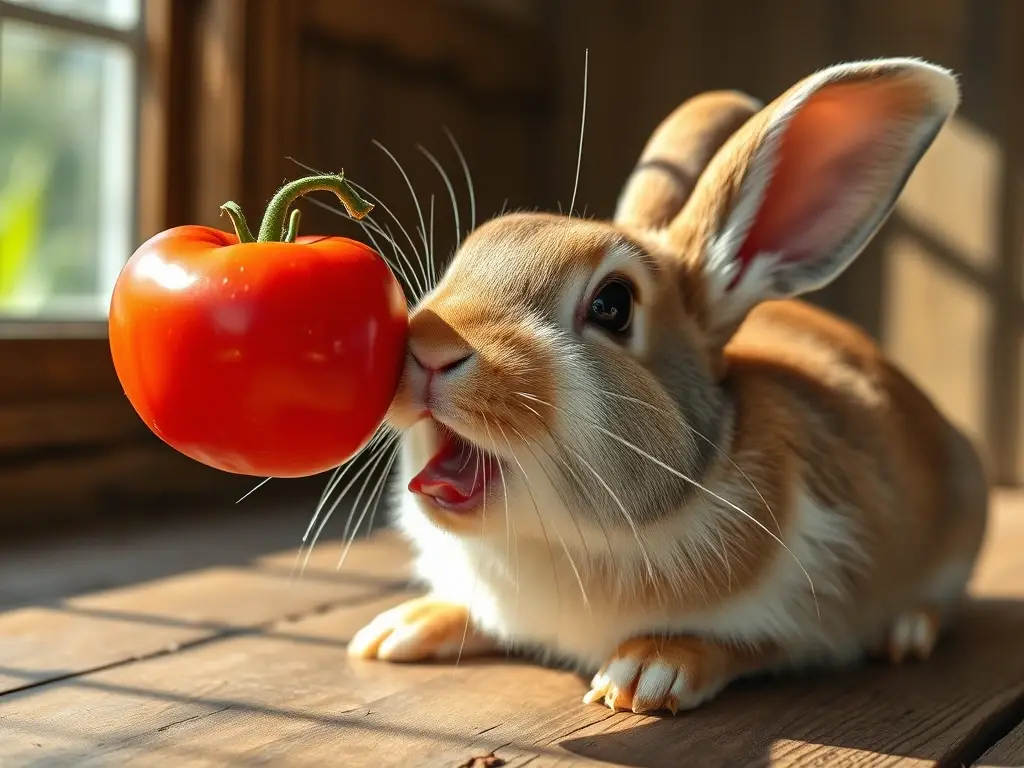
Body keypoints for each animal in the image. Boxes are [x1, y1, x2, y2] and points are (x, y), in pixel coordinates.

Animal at [347, 57, 990, 716]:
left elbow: (747, 643)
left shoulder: (809, 610)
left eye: (612, 305)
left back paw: (906, 630)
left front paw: (647, 670)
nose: (429, 347)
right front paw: (406, 625)